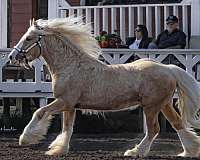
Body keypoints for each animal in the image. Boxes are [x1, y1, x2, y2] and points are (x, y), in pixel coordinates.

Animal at [8, 17, 200, 156]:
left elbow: (39, 112)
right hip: (164, 104)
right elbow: (67, 129)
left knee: (154, 130)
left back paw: (135, 152)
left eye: (28, 38)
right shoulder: (71, 106)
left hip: (151, 106)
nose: (11, 57)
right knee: (177, 124)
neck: (70, 66)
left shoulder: (63, 101)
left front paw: (25, 139)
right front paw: (58, 150)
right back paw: (189, 151)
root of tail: (168, 69)